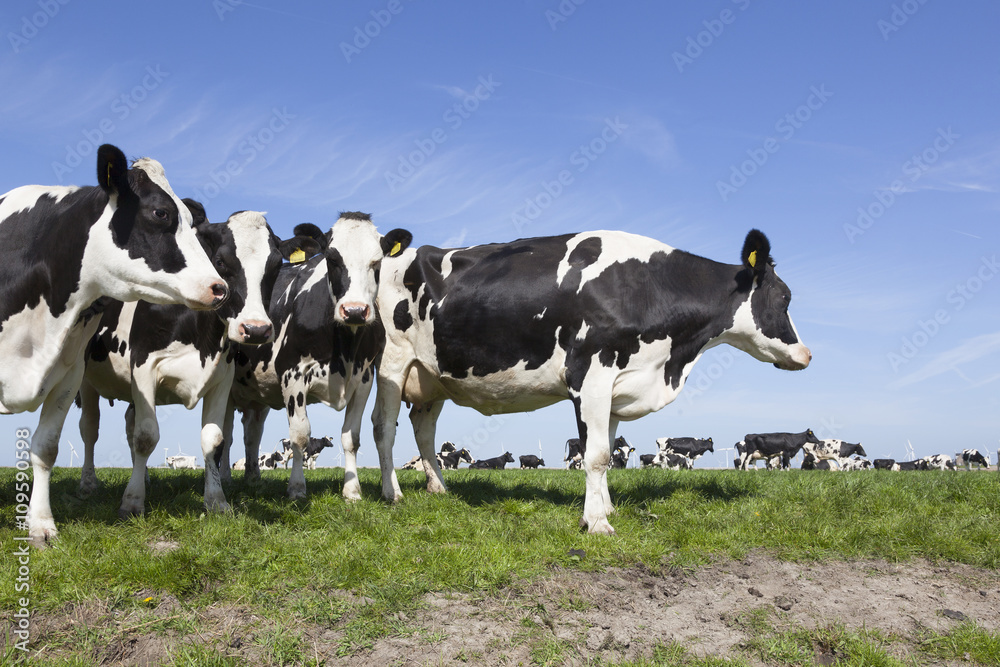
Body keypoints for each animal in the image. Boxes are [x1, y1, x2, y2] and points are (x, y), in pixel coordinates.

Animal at [0, 146, 228, 544]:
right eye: (160, 213)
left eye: (191, 220)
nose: (219, 288)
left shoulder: (67, 374)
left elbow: (46, 446)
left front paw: (41, 525)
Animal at [76, 207, 312, 516]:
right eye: (220, 261)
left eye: (274, 266)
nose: (256, 329)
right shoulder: (143, 368)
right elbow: (146, 436)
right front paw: (132, 501)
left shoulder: (222, 377)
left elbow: (213, 439)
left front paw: (217, 501)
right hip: (85, 379)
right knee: (90, 429)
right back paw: (88, 484)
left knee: (128, 422)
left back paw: (145, 478)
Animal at [225, 213, 412, 500]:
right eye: (332, 259)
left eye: (376, 262)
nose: (355, 311)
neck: (345, 349)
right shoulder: (293, 372)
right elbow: (300, 435)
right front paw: (297, 488)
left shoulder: (364, 378)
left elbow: (351, 437)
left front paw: (352, 491)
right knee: (224, 435)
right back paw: (223, 478)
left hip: (258, 394)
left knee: (251, 433)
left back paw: (253, 479)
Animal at [372, 228, 808, 532]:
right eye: (784, 298)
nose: (806, 354)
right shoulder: (591, 375)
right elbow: (595, 455)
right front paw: (598, 522)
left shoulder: (616, 386)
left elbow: (609, 453)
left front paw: (604, 507)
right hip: (392, 363)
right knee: (384, 428)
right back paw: (392, 493)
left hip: (431, 377)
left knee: (423, 428)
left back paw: (439, 488)